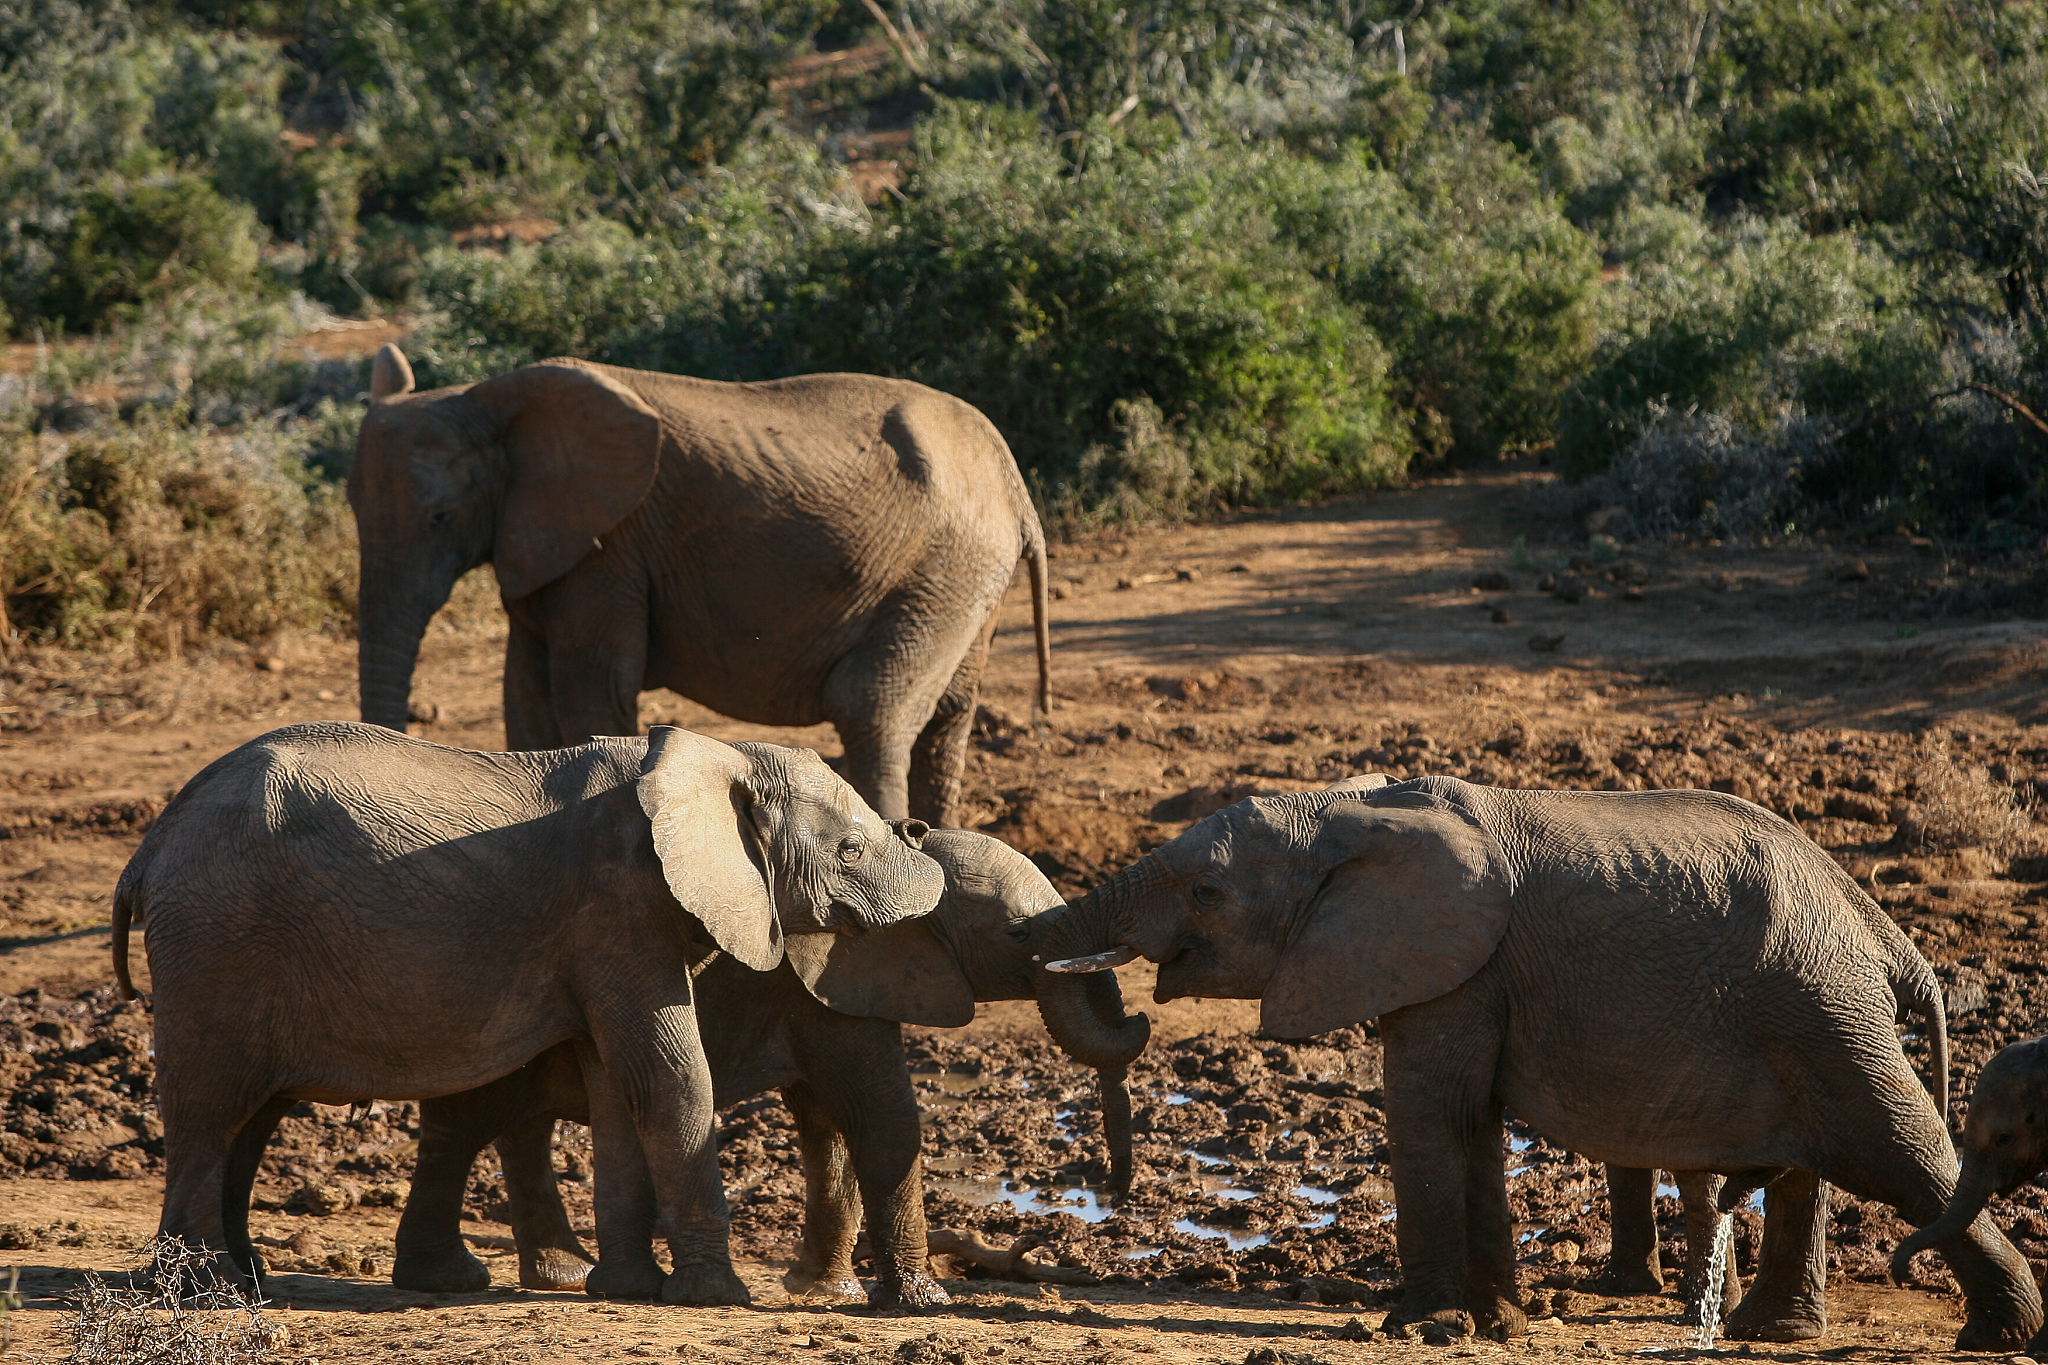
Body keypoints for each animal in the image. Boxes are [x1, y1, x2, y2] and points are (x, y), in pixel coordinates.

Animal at [110, 721, 943, 1305]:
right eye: (850, 848)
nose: (926, 847)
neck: (715, 754)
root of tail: (151, 843)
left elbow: (619, 1082)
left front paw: (628, 1290)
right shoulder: (619, 904)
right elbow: (667, 1073)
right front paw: (715, 1296)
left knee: (250, 1118)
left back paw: (244, 1278)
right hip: (217, 941)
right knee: (210, 1109)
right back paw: (204, 1289)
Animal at [349, 344, 1051, 826]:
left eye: (441, 517)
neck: (488, 401)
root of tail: (1015, 483)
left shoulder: (611, 547)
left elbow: (588, 692)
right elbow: (525, 698)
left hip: (945, 563)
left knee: (869, 707)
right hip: (965, 579)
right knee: (948, 719)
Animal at [384, 829, 1149, 1306]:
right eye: (1018, 934)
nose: (1115, 1189)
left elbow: (825, 1125)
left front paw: (822, 1290)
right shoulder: (828, 979)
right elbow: (881, 1114)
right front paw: (922, 1302)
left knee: (516, 1126)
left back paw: (554, 1275)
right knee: (471, 1120)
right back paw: (461, 1277)